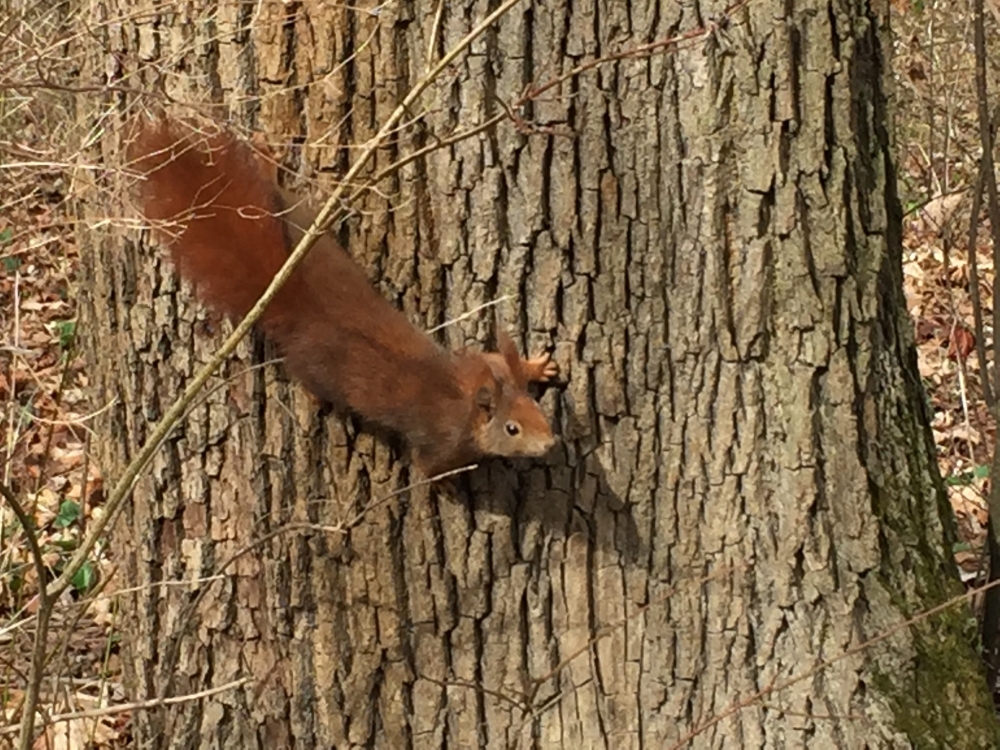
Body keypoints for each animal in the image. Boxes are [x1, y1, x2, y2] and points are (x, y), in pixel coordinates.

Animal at [126, 121, 560, 478]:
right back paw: (314, 398)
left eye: (536, 409)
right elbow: (429, 470)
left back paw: (266, 159)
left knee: (270, 192)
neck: (469, 403)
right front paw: (450, 486)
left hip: (297, 220)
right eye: (512, 429)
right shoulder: (442, 441)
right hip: (316, 364)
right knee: (305, 375)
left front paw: (538, 366)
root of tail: (300, 303)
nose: (550, 443)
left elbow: (494, 354)